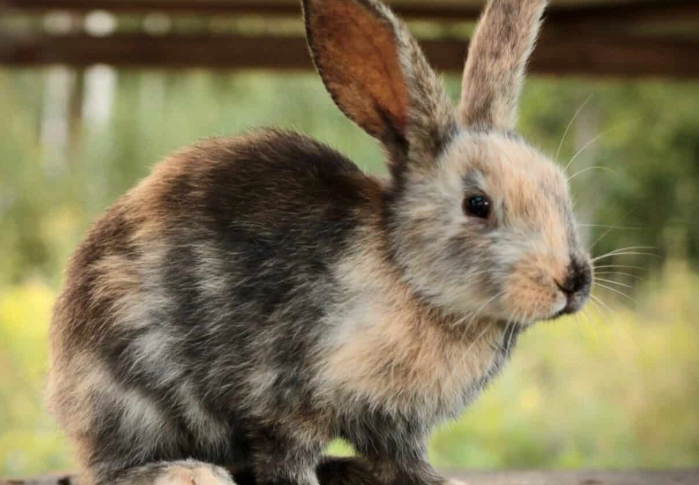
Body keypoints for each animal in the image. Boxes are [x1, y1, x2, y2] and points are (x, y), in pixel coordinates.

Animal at [47, 0, 592, 484]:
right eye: (477, 204)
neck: (410, 279)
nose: (573, 281)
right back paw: (190, 474)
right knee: (111, 470)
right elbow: (288, 459)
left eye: (560, 187)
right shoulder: (288, 403)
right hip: (134, 397)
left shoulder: (395, 426)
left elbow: (406, 464)